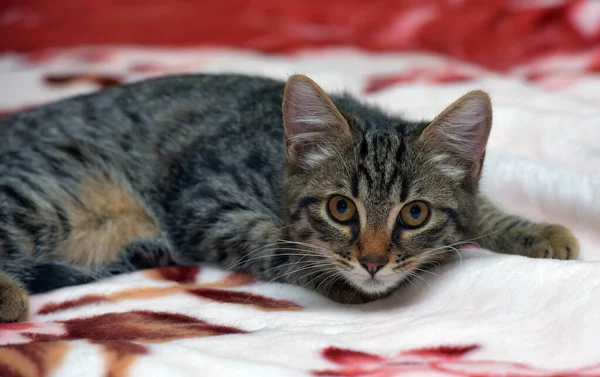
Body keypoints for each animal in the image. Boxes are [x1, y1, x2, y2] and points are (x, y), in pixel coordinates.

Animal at [0, 73, 580, 320]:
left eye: (414, 214)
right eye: (341, 208)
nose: (372, 262)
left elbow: (480, 209)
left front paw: (537, 230)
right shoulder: (202, 199)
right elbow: (274, 240)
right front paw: (337, 279)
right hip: (43, 193)